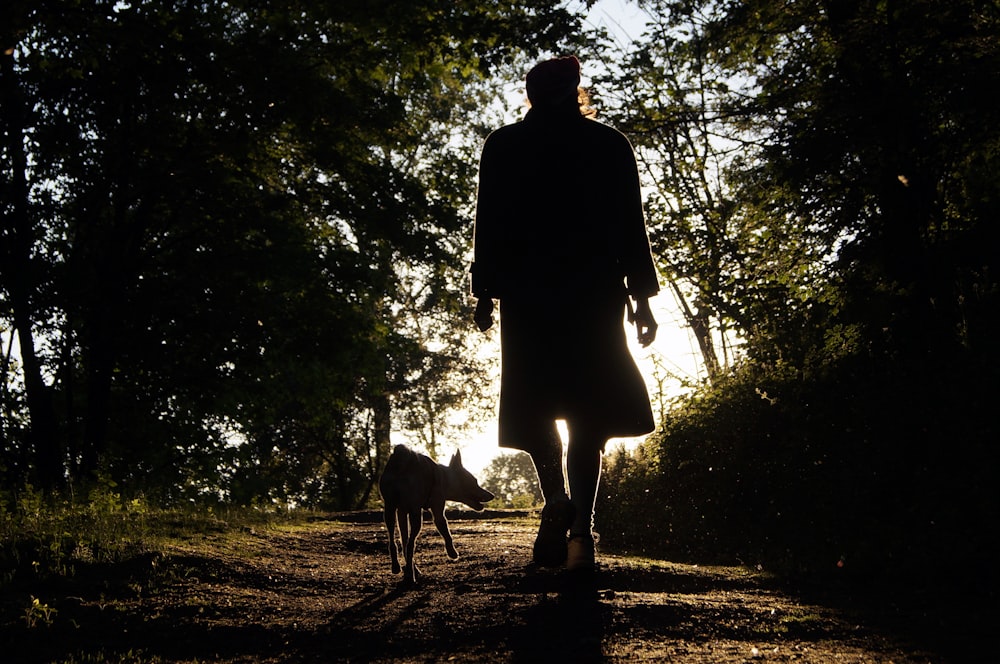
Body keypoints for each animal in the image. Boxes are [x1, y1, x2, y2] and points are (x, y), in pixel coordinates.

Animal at [376, 446, 494, 580]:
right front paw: (452, 552)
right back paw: (410, 576)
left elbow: (404, 540)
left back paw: (398, 567)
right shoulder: (437, 509)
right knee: (411, 545)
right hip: (416, 515)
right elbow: (445, 530)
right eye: (474, 481)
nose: (492, 495)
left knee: (395, 541)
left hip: (389, 510)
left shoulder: (402, 512)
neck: (444, 477)